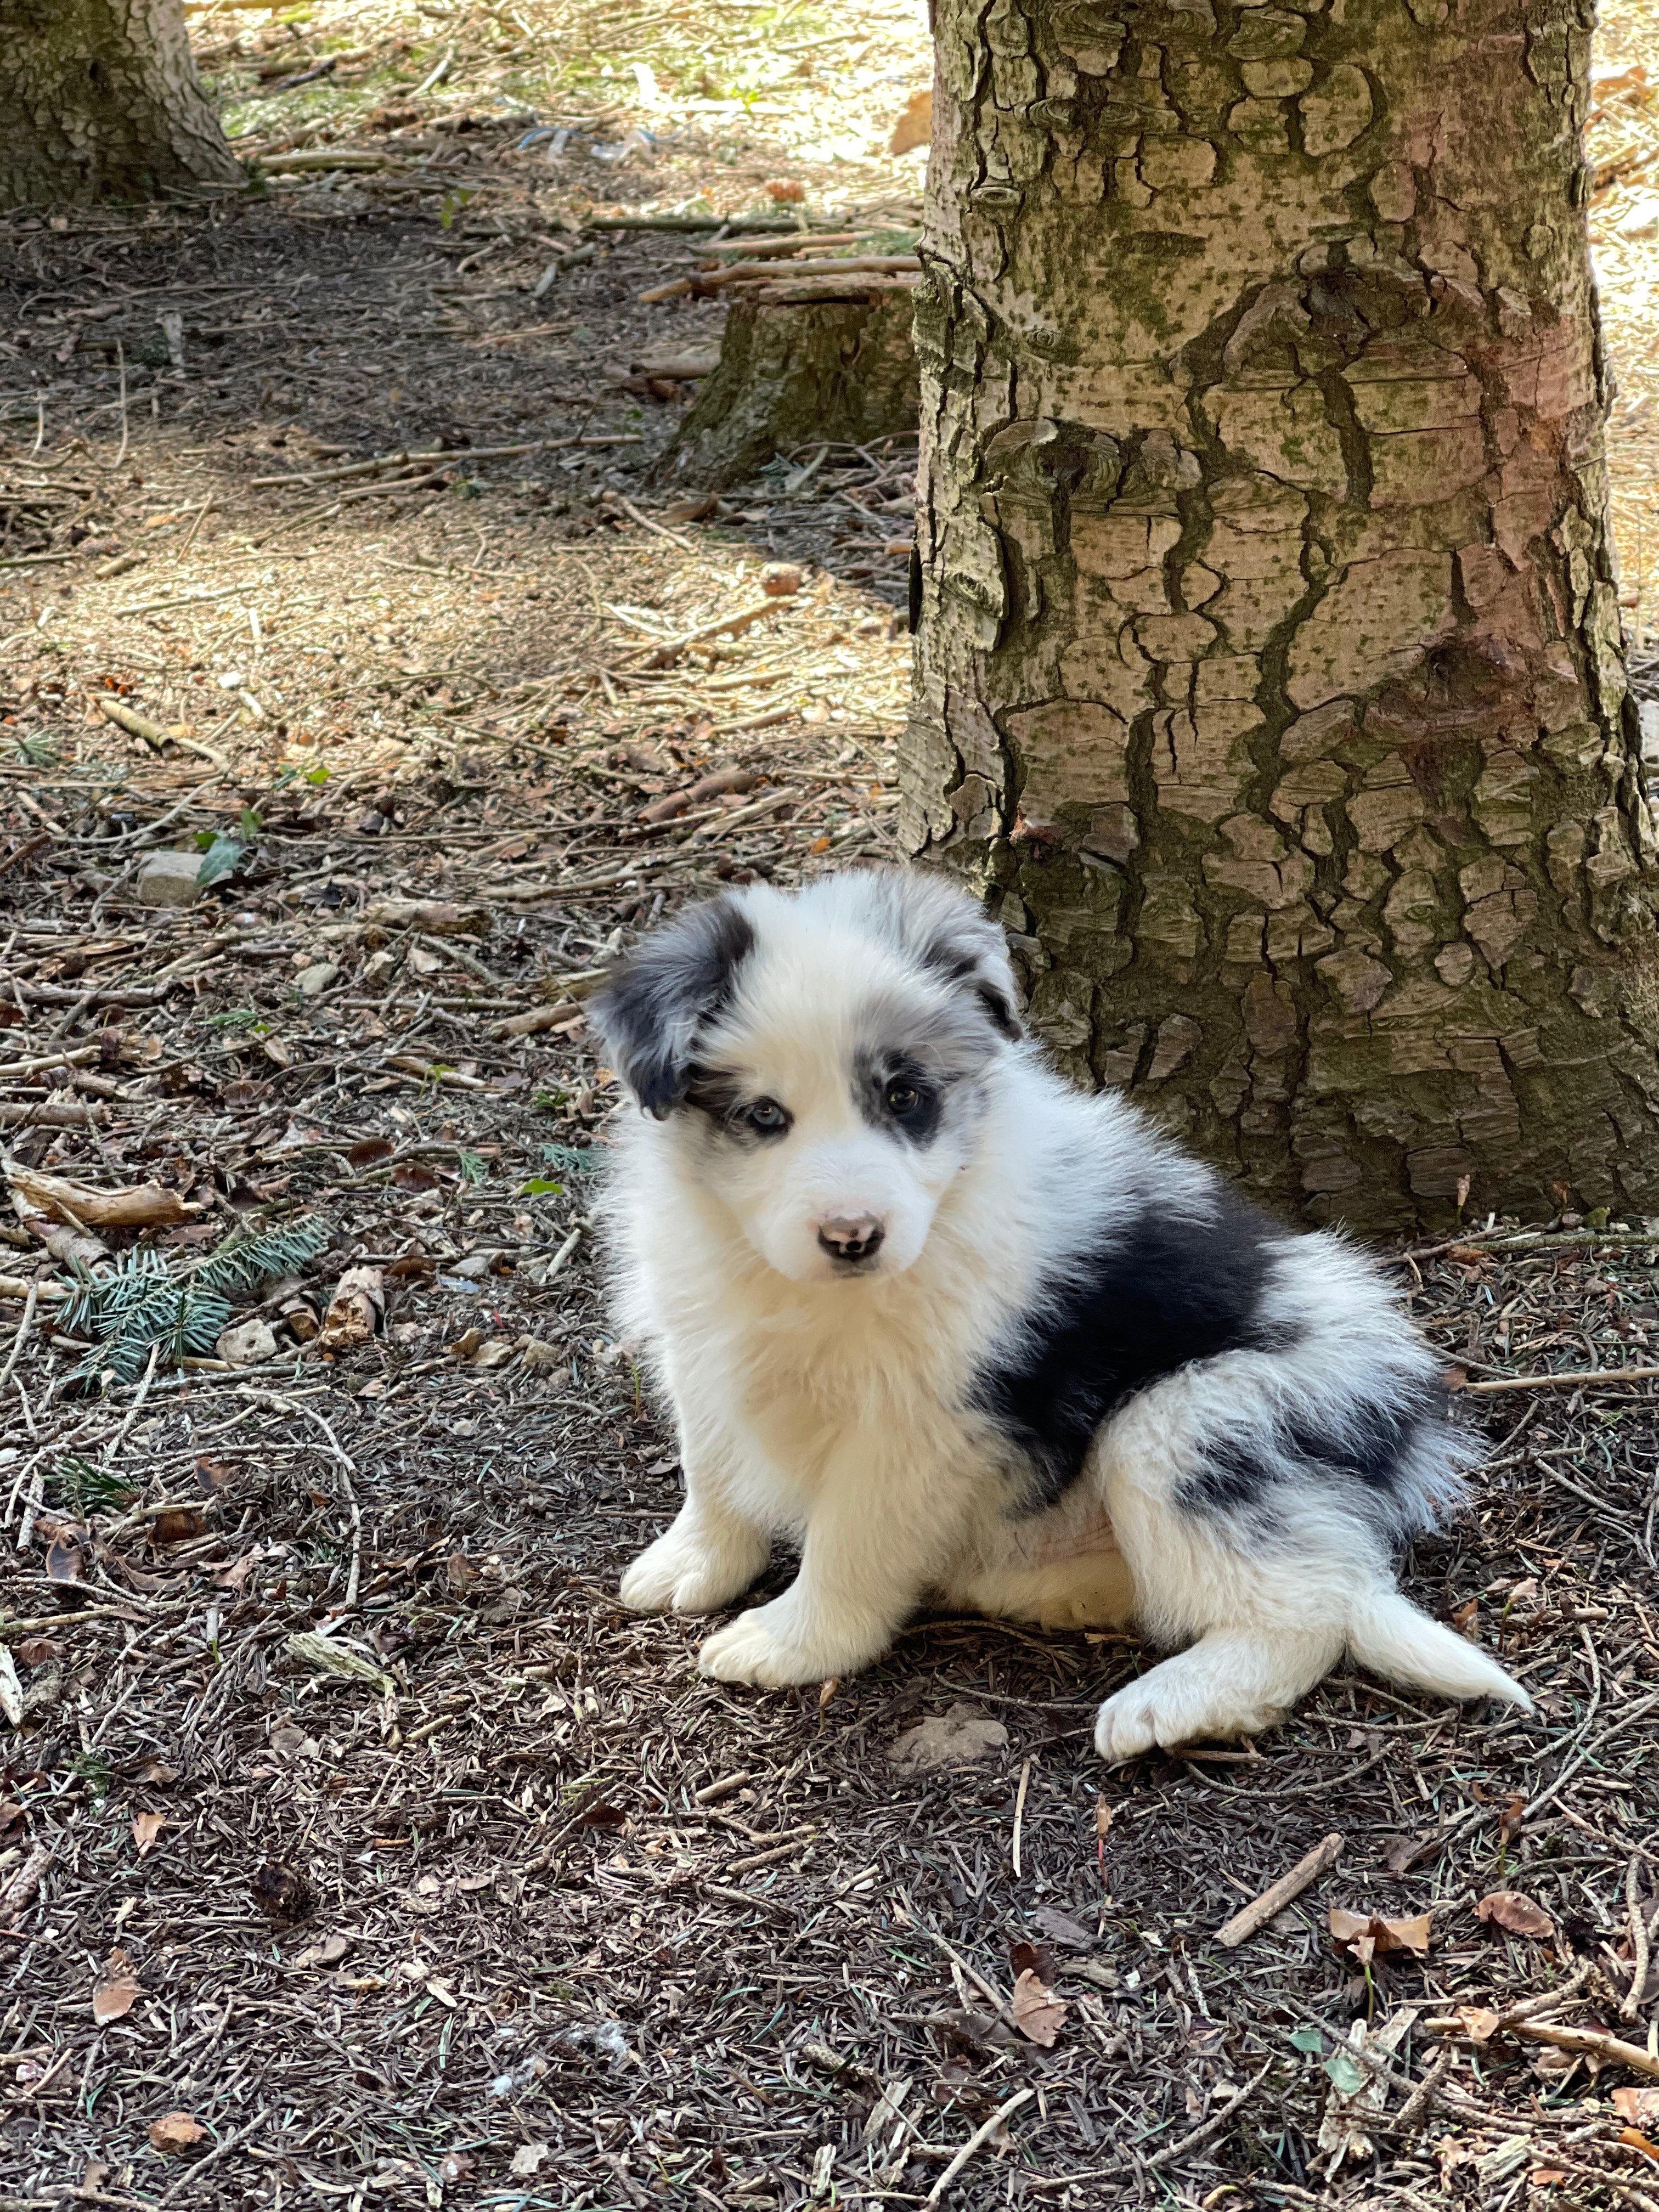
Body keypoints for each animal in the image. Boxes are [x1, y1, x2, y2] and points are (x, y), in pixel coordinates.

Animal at [592, 871, 1531, 1752]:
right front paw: (695, 1562)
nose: (852, 1236)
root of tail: (1415, 1418)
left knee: (1311, 1609)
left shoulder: (922, 1424)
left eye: (904, 1097)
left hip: (1189, 1423)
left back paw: (1169, 1705)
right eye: (764, 1115)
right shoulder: (702, 1348)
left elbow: (849, 1539)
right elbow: (710, 1465)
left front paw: (794, 1641)